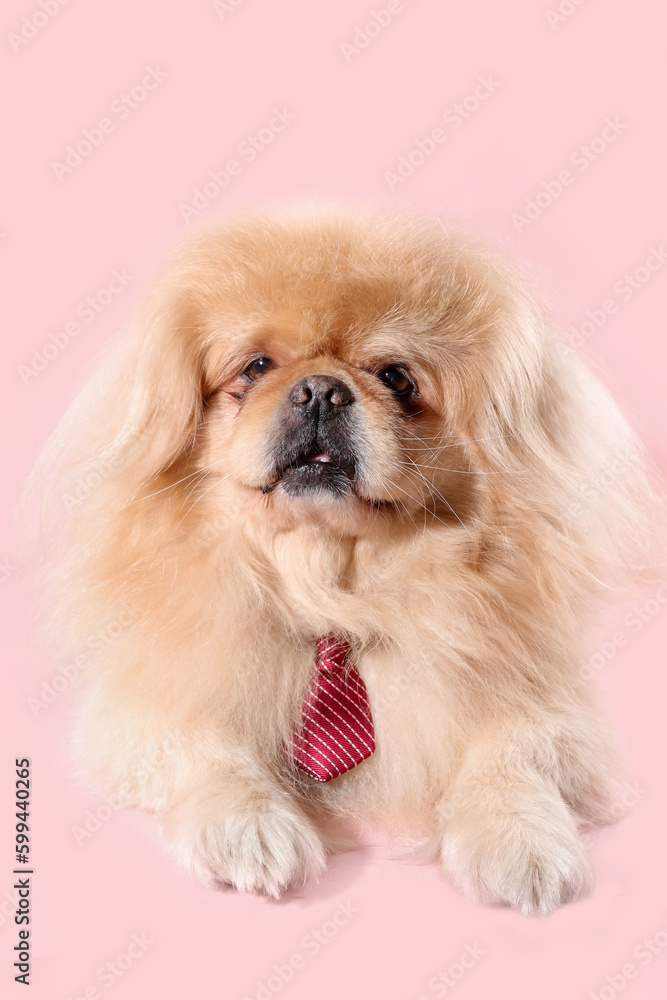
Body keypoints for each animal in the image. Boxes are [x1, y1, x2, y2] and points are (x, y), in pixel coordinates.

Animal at [32, 205, 664, 916]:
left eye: (396, 377)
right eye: (255, 367)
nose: (320, 390)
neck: (333, 589)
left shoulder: (556, 712)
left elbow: (513, 752)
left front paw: (520, 840)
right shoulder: (142, 707)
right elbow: (207, 745)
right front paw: (250, 827)